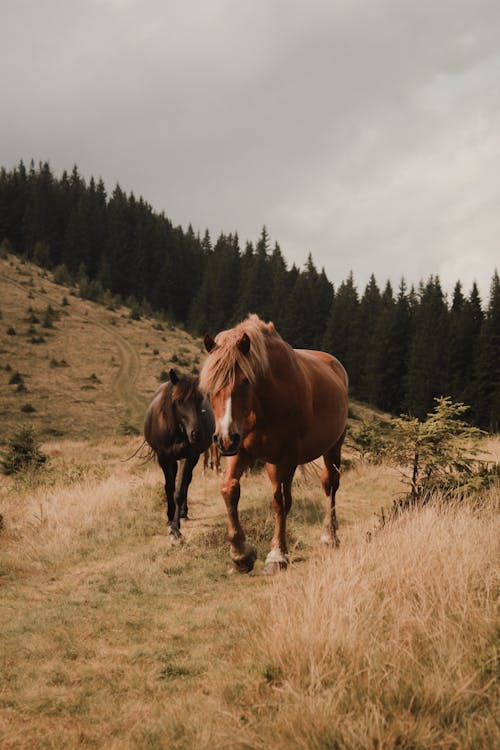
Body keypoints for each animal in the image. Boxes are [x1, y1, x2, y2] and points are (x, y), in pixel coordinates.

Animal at [145, 370, 215, 540]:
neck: (176, 431)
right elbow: (169, 488)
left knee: (187, 481)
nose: (196, 434)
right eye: (178, 401)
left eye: (199, 400)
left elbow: (179, 491)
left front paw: (175, 528)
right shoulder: (164, 458)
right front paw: (169, 520)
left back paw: (183, 513)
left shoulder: (188, 457)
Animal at [199, 314, 348, 572]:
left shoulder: (286, 457)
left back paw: (330, 536)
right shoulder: (240, 450)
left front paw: (278, 554)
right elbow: (229, 489)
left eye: (245, 382)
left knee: (330, 485)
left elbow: (281, 501)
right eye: (211, 387)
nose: (224, 438)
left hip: (332, 448)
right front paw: (241, 554)